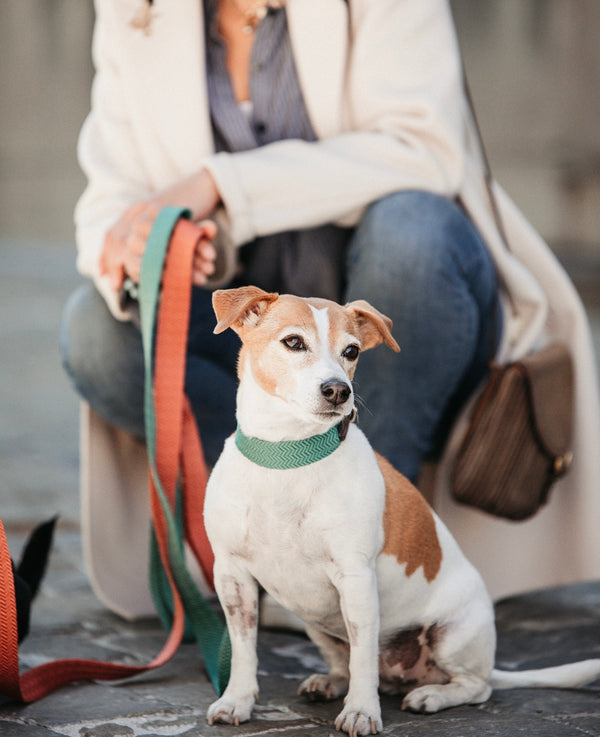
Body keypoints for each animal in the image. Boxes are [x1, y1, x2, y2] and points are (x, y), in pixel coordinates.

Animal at [203, 288, 600, 736]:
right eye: (293, 342)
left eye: (352, 351)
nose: (338, 390)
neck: (288, 455)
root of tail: (402, 674)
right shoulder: (232, 576)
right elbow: (244, 649)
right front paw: (237, 700)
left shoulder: (356, 581)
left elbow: (362, 658)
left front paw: (361, 712)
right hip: (315, 625)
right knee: (346, 663)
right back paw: (329, 682)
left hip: (451, 636)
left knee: (475, 686)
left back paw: (432, 696)